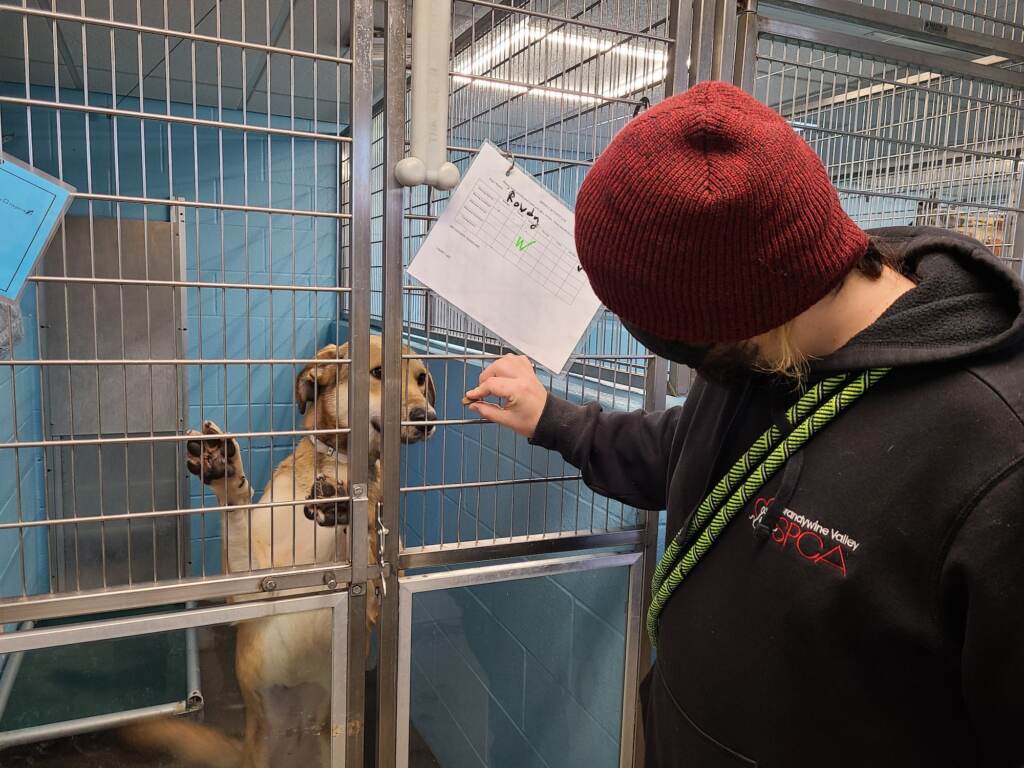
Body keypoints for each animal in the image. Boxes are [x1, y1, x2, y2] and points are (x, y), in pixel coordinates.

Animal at [122, 335, 436, 768]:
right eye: (377, 372)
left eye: (421, 379)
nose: (427, 417)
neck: (337, 462)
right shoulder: (250, 585)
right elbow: (237, 514)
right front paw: (224, 469)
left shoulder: (374, 596)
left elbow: (367, 546)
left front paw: (346, 507)